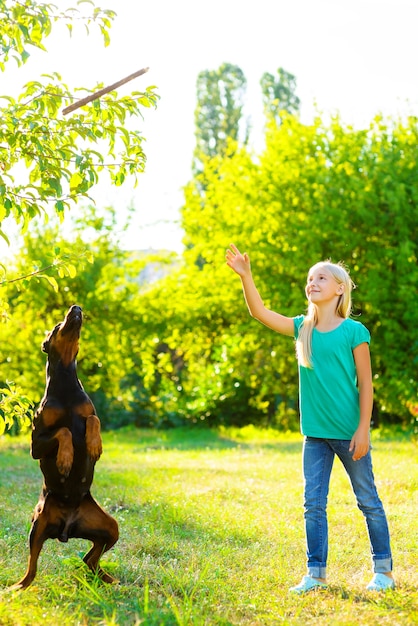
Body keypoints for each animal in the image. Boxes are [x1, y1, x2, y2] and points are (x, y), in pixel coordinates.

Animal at [10, 304, 118, 588]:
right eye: (58, 326)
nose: (76, 307)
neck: (67, 382)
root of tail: (66, 529)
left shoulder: (88, 412)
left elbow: (92, 419)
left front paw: (94, 445)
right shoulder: (36, 443)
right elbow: (64, 430)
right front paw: (65, 459)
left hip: (110, 526)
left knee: (90, 558)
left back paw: (107, 578)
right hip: (37, 526)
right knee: (31, 571)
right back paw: (15, 588)